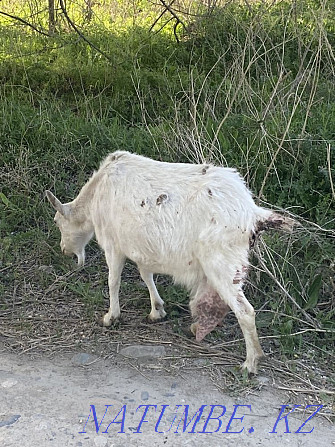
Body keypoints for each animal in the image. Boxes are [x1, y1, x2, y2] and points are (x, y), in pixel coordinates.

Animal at [46, 151, 292, 374]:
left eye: (57, 221)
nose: (64, 250)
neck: (97, 193)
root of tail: (252, 213)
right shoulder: (142, 248)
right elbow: (146, 275)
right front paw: (157, 310)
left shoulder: (113, 244)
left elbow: (113, 281)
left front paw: (110, 317)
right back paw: (197, 328)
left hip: (222, 263)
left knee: (245, 311)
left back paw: (250, 364)